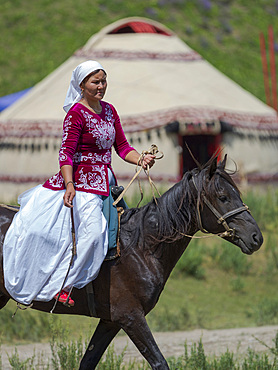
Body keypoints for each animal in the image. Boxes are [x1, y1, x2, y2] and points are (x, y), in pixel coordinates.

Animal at [0, 155, 262, 368]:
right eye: (223, 197)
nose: (256, 237)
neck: (141, 247)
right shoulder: (131, 317)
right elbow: (159, 362)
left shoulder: (110, 321)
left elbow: (88, 362)